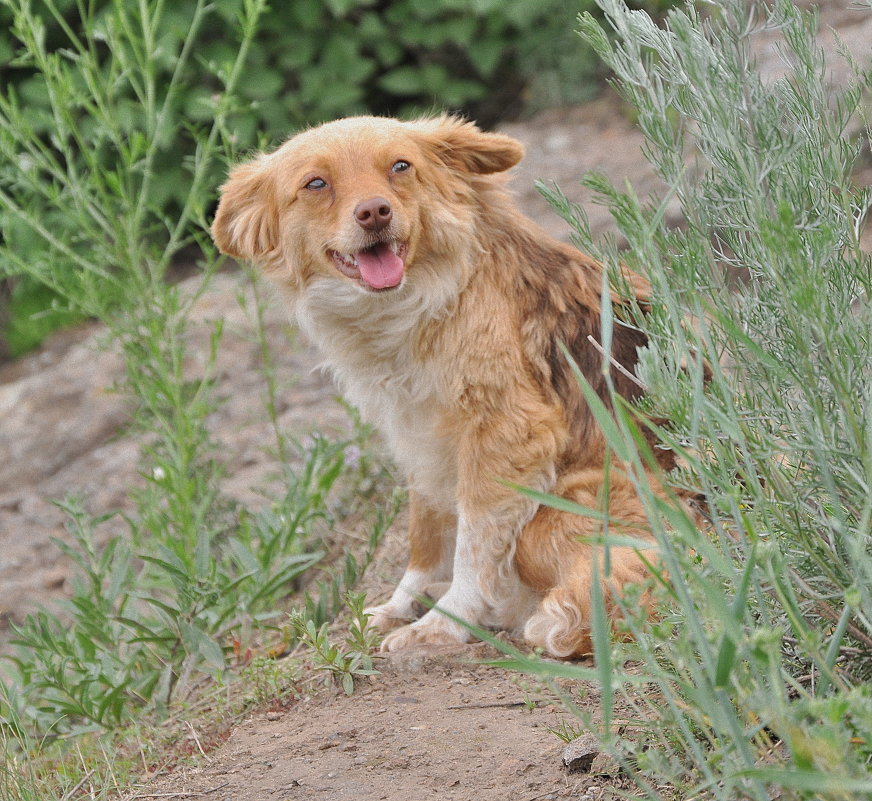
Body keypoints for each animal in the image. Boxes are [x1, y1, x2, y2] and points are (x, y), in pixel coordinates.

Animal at [211, 117, 668, 656]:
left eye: (400, 166)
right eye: (316, 183)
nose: (374, 212)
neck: (421, 300)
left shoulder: (508, 432)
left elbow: (475, 545)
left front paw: (445, 622)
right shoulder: (419, 436)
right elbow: (426, 536)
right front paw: (399, 605)